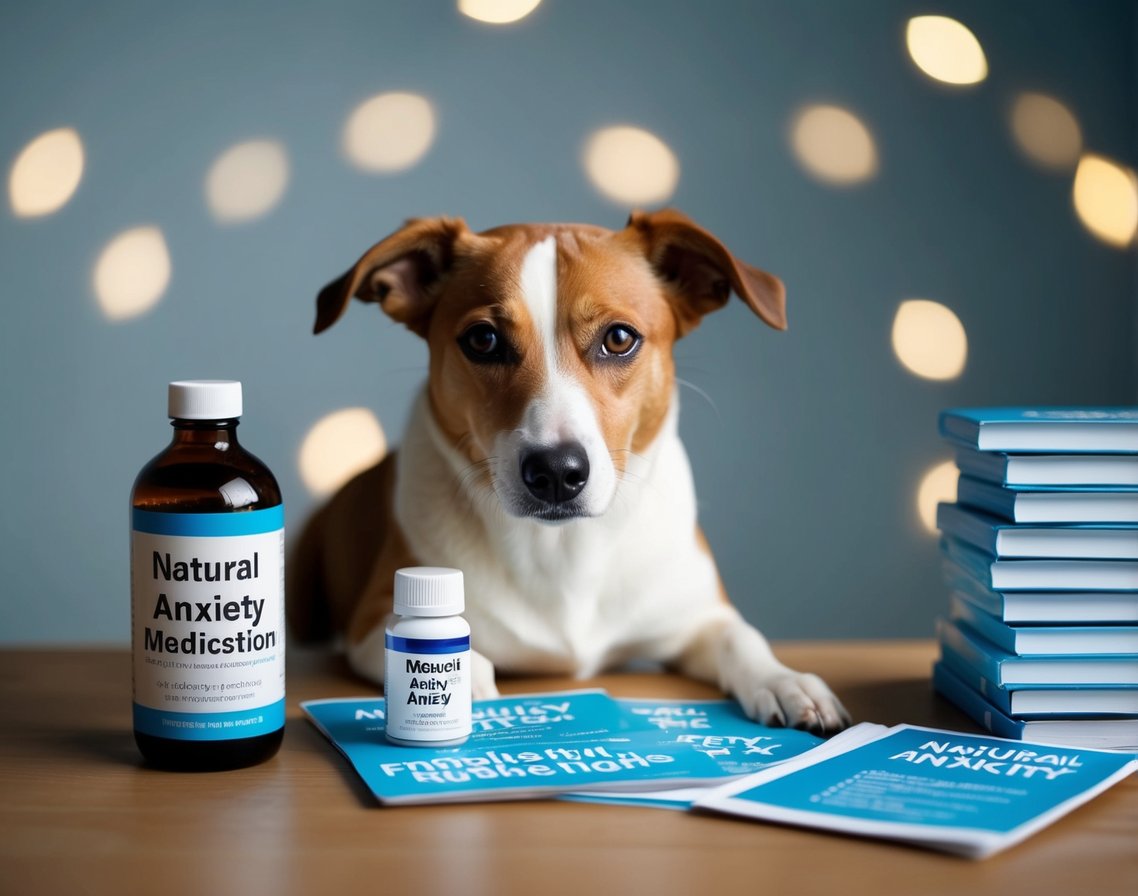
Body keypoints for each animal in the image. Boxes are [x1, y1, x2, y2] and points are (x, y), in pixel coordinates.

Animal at [289, 210, 851, 737]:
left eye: (619, 338)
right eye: (483, 340)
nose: (556, 471)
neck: (564, 551)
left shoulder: (697, 617)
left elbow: (741, 635)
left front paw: (786, 680)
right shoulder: (368, 624)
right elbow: (440, 649)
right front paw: (460, 683)